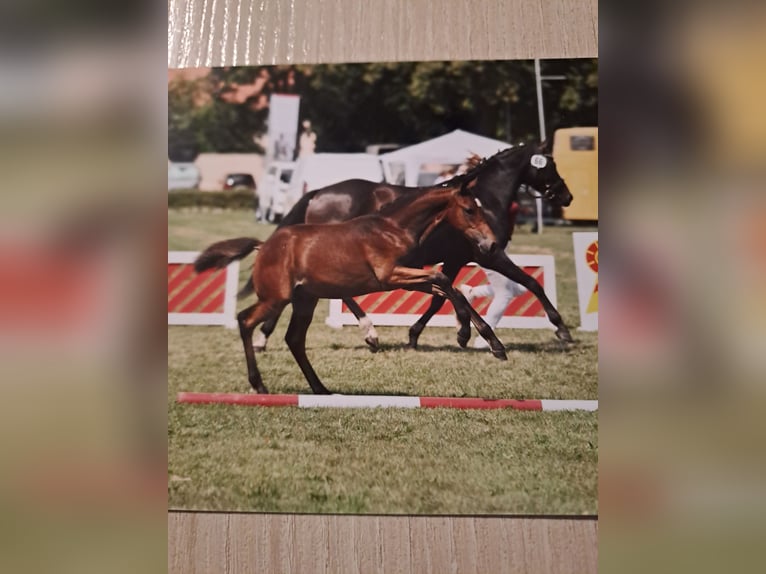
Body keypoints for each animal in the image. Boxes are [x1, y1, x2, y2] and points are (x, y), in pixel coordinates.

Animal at [249, 142, 572, 354]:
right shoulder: (487, 255)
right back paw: (369, 333)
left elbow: (441, 296)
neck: (486, 199)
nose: (566, 196)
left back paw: (263, 337)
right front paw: (561, 329)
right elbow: (531, 282)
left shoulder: (455, 260)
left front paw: (431, 334)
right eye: (550, 164)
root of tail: (319, 192)